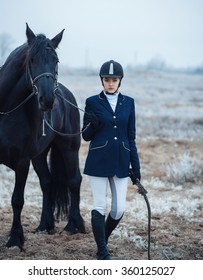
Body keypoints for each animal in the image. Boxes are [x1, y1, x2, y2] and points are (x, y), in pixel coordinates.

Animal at [0, 23, 85, 248]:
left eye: (56, 60)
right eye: (32, 60)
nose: (47, 99)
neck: (5, 110)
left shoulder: (22, 162)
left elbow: (17, 200)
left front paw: (15, 239)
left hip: (69, 148)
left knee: (74, 180)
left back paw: (74, 226)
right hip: (39, 155)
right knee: (47, 182)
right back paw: (44, 225)